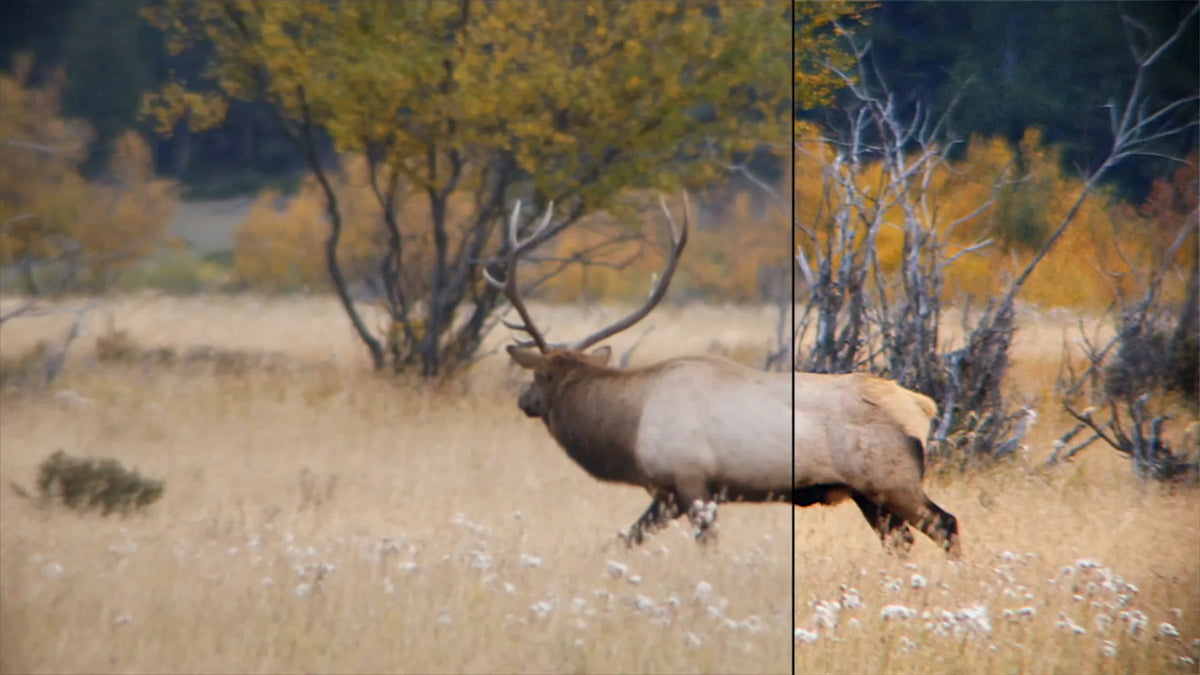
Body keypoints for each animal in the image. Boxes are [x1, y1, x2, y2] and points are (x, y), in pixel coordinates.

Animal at [485, 194, 961, 559]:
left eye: (539, 377)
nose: (523, 399)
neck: (630, 429)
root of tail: (923, 407)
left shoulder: (692, 481)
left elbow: (706, 546)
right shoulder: (668, 494)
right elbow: (624, 540)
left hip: (892, 481)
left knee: (947, 524)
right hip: (869, 496)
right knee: (901, 542)